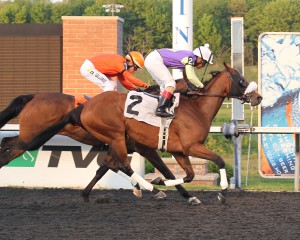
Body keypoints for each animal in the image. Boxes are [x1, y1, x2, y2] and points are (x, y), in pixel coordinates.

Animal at [0, 85, 202, 204]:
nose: (198, 91)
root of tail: (33, 96)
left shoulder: (119, 145)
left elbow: (104, 168)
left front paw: (86, 194)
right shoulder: (143, 148)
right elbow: (166, 171)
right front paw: (184, 194)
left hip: (35, 137)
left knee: (7, 143)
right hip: (34, 137)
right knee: (9, 146)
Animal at [19, 63, 262, 202]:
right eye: (241, 80)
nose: (258, 97)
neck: (196, 108)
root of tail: (84, 107)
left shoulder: (179, 151)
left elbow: (187, 174)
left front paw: (167, 185)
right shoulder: (188, 147)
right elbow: (217, 161)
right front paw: (222, 192)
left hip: (116, 141)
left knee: (111, 165)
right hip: (116, 136)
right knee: (123, 165)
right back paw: (147, 186)